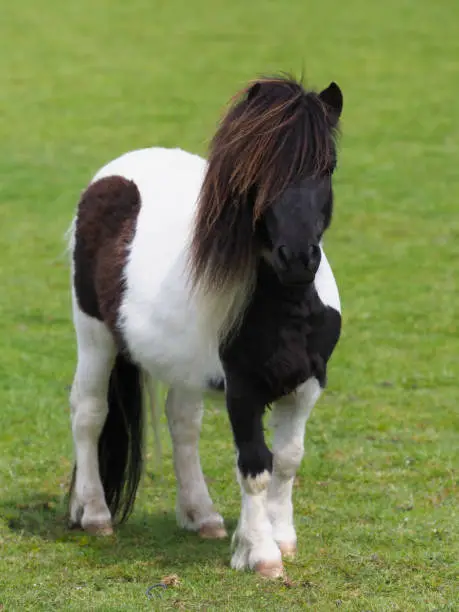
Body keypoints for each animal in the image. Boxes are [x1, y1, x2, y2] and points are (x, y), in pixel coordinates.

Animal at [66, 74, 344, 576]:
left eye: (327, 165)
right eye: (258, 171)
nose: (297, 258)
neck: (288, 307)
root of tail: (115, 174)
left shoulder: (307, 385)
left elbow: (288, 460)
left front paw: (282, 538)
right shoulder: (243, 390)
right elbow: (255, 466)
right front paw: (261, 554)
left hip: (182, 365)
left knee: (183, 422)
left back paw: (203, 516)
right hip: (94, 335)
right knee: (89, 411)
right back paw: (94, 514)